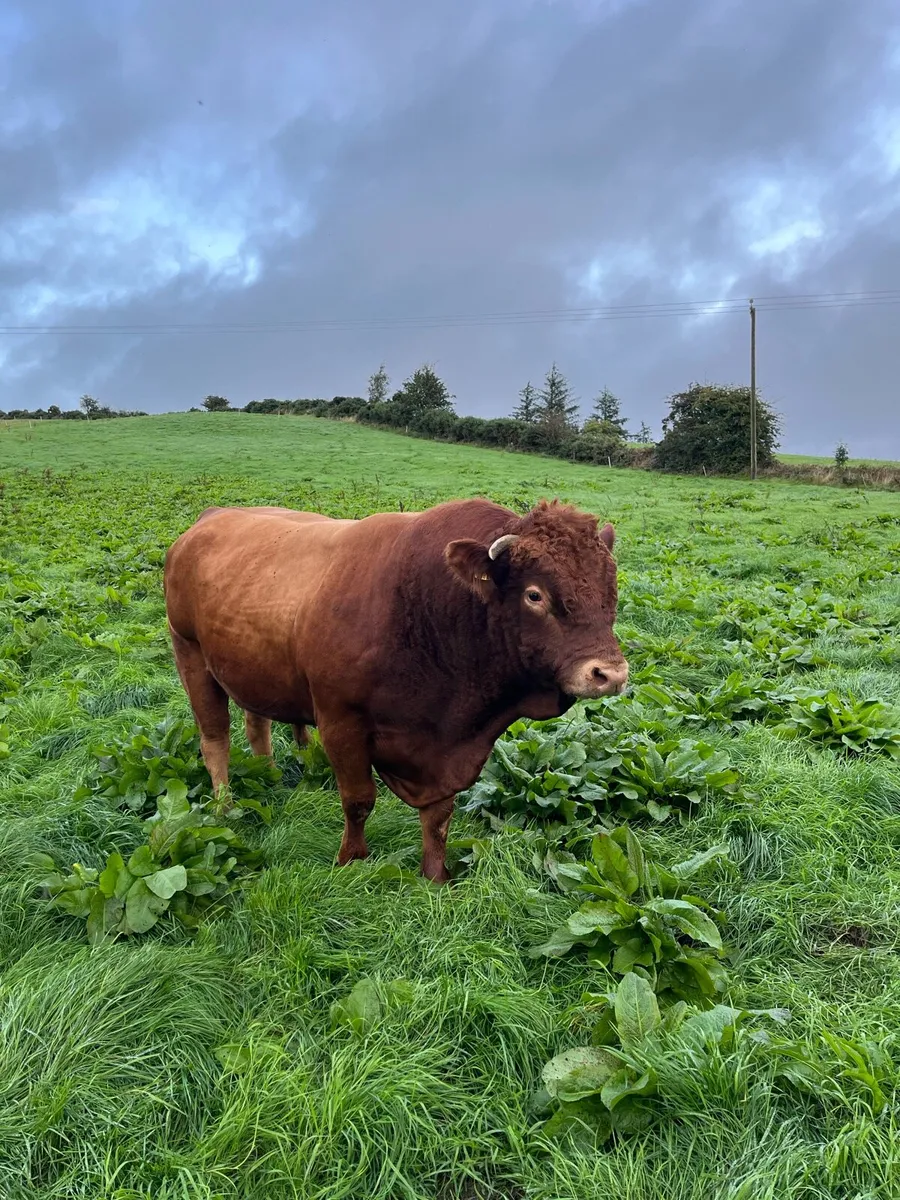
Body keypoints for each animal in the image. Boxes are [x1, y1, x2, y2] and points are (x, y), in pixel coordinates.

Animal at [163, 497, 627, 883]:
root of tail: (210, 518)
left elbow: (439, 817)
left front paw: (435, 876)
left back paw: (271, 777)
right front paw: (351, 861)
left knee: (255, 724)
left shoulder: (449, 751)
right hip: (190, 654)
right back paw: (225, 807)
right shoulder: (340, 721)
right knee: (215, 739)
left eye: (611, 590)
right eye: (535, 595)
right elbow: (358, 800)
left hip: (250, 666)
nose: (610, 673)